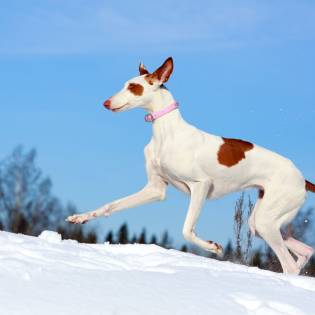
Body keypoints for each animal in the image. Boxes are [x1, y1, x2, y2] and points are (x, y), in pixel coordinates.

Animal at [68, 58, 315, 276]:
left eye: (133, 87)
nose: (106, 103)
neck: (166, 132)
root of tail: (302, 179)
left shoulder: (200, 186)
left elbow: (187, 230)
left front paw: (212, 246)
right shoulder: (155, 189)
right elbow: (111, 205)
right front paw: (81, 217)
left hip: (267, 220)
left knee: (290, 265)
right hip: (263, 221)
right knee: (306, 250)